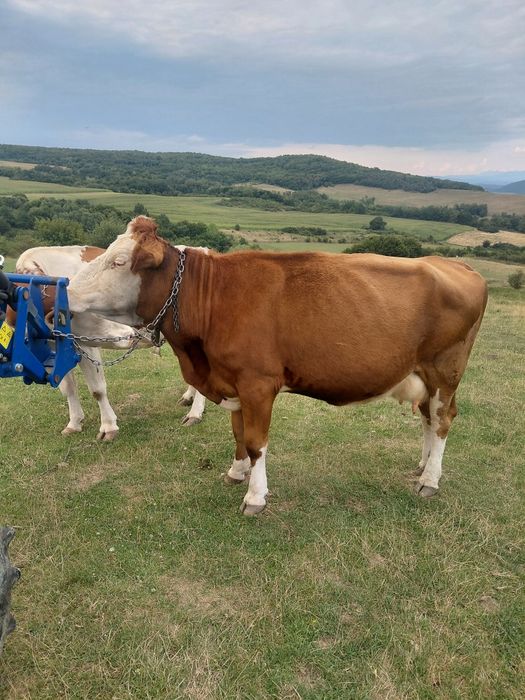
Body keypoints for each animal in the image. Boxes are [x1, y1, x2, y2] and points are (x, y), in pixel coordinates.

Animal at [11, 245, 206, 439]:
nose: (130, 333)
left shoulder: (86, 344)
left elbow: (97, 389)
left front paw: (108, 426)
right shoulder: (54, 348)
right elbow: (68, 387)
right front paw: (74, 423)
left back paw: (195, 413)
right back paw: (189, 398)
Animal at [67, 216, 488, 514]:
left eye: (118, 261)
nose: (65, 290)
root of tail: (454, 265)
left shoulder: (258, 384)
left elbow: (256, 443)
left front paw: (255, 496)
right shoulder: (233, 382)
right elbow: (238, 433)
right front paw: (236, 472)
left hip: (445, 371)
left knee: (443, 420)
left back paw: (430, 479)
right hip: (423, 376)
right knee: (428, 419)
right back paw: (423, 465)